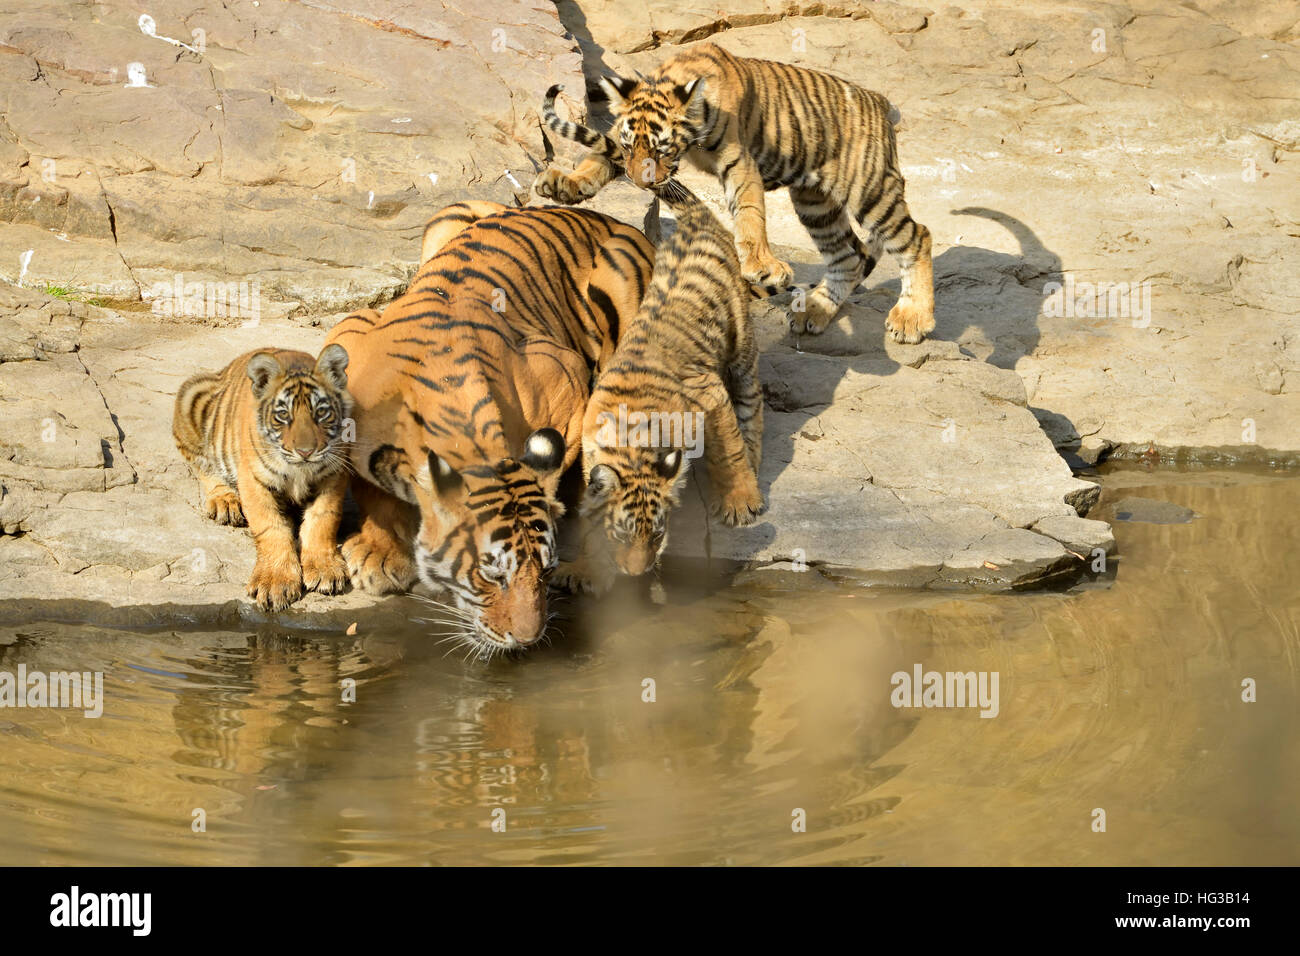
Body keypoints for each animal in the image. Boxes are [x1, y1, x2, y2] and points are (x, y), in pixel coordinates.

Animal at [172, 344, 353, 611]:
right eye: (283, 415)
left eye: (321, 412)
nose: (306, 451)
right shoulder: (253, 480)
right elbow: (270, 526)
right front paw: (275, 582)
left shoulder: (334, 473)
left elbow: (323, 520)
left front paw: (324, 569)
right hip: (191, 396)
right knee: (202, 465)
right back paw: (225, 502)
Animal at [321, 200, 654, 654]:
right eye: (491, 576)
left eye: (545, 571)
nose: (529, 638)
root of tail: (609, 219)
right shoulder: (350, 333)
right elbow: (368, 482)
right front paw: (382, 553)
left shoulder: (566, 379)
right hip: (448, 217)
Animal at [534, 41, 935, 343]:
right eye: (631, 148)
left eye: (662, 150)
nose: (641, 183)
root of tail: (879, 101)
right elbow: (595, 158)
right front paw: (564, 184)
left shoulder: (739, 160)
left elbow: (749, 212)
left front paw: (761, 266)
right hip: (814, 202)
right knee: (848, 256)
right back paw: (815, 309)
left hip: (868, 188)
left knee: (917, 236)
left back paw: (912, 319)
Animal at [562, 178, 764, 596]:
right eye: (622, 537)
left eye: (657, 536)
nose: (636, 574)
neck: (630, 446)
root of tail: (697, 222)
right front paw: (585, 570)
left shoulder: (709, 394)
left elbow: (729, 451)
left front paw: (738, 501)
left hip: (740, 344)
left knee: (751, 404)